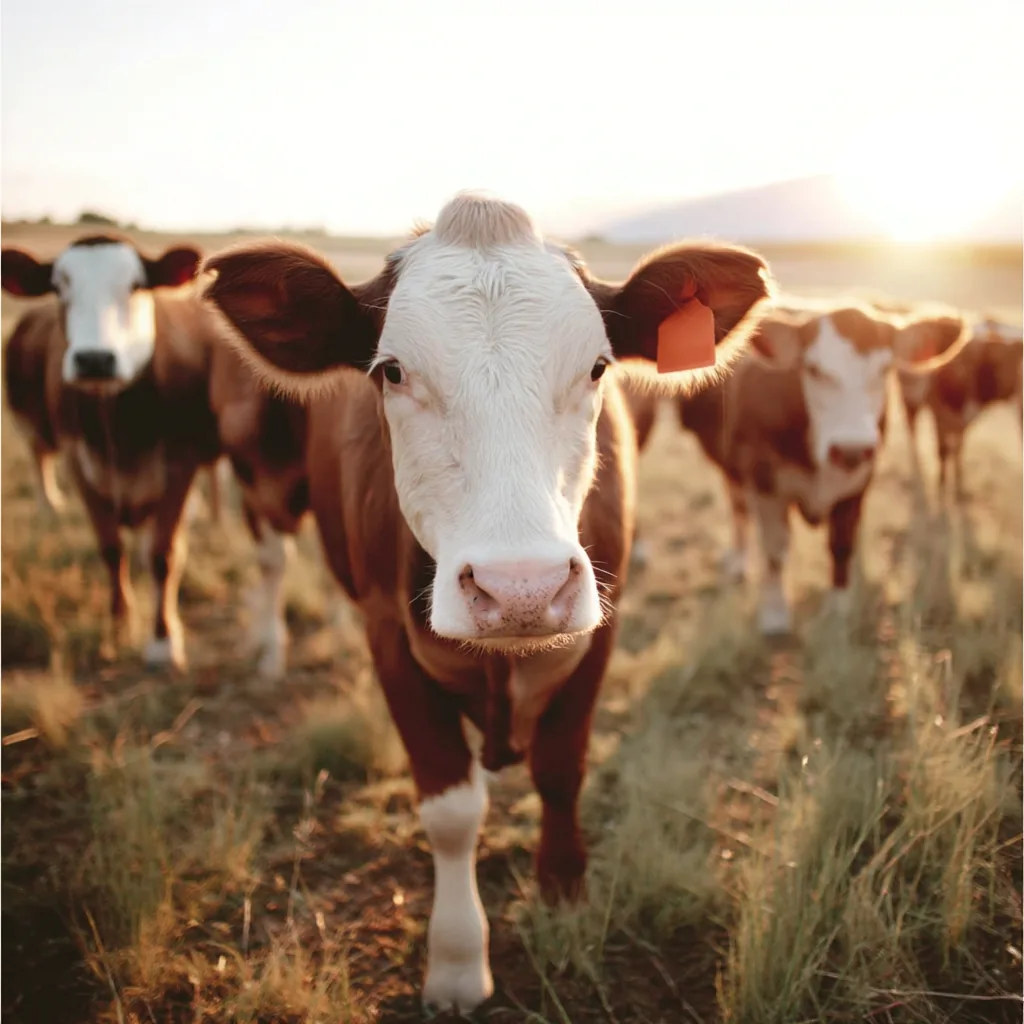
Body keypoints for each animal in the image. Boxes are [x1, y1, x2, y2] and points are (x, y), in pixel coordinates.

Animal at [1, 235, 223, 670]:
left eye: (136, 285)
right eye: (59, 286)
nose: (94, 359)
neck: (120, 429)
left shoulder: (182, 461)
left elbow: (163, 554)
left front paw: (162, 639)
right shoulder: (78, 461)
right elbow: (110, 549)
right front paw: (119, 624)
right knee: (39, 458)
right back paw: (49, 504)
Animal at [201, 192, 774, 1012]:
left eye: (598, 366)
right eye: (392, 371)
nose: (521, 587)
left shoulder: (600, 632)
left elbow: (562, 770)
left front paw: (564, 897)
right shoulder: (390, 641)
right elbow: (450, 809)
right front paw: (456, 959)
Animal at [660, 298, 969, 635]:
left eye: (885, 369)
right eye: (814, 369)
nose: (851, 447)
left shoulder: (857, 484)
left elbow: (841, 546)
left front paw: (838, 609)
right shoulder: (764, 483)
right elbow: (775, 550)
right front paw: (775, 614)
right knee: (739, 509)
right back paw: (739, 561)